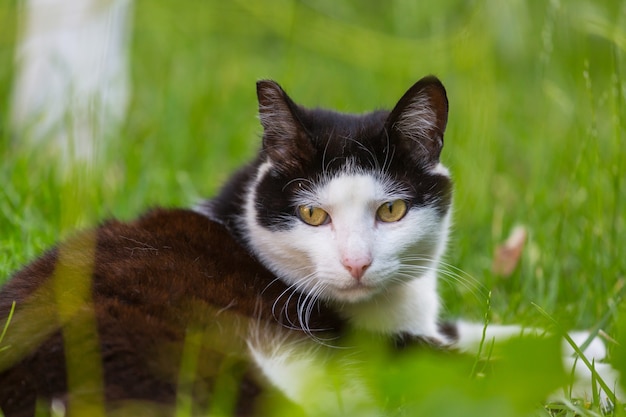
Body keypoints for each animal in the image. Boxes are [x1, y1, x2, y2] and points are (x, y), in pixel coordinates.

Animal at [0, 75, 616, 416]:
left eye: (391, 210)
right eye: (313, 215)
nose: (356, 263)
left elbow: (476, 333)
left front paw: (588, 344)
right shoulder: (376, 353)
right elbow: (475, 364)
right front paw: (592, 375)